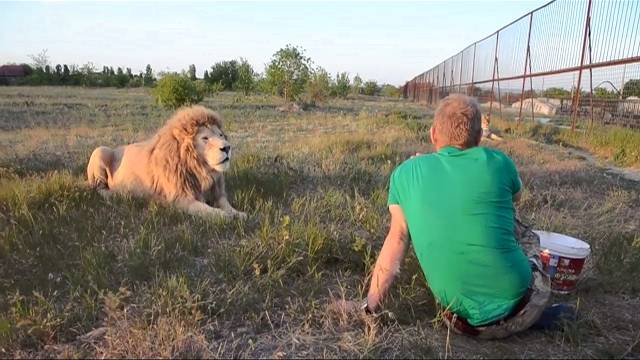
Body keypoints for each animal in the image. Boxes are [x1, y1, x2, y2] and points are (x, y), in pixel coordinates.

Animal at [85, 105, 245, 219]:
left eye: (221, 135)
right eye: (205, 138)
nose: (227, 147)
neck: (202, 170)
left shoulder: (217, 193)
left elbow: (226, 204)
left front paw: (239, 214)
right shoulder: (180, 199)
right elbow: (205, 210)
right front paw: (223, 215)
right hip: (100, 150)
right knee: (99, 189)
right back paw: (116, 194)